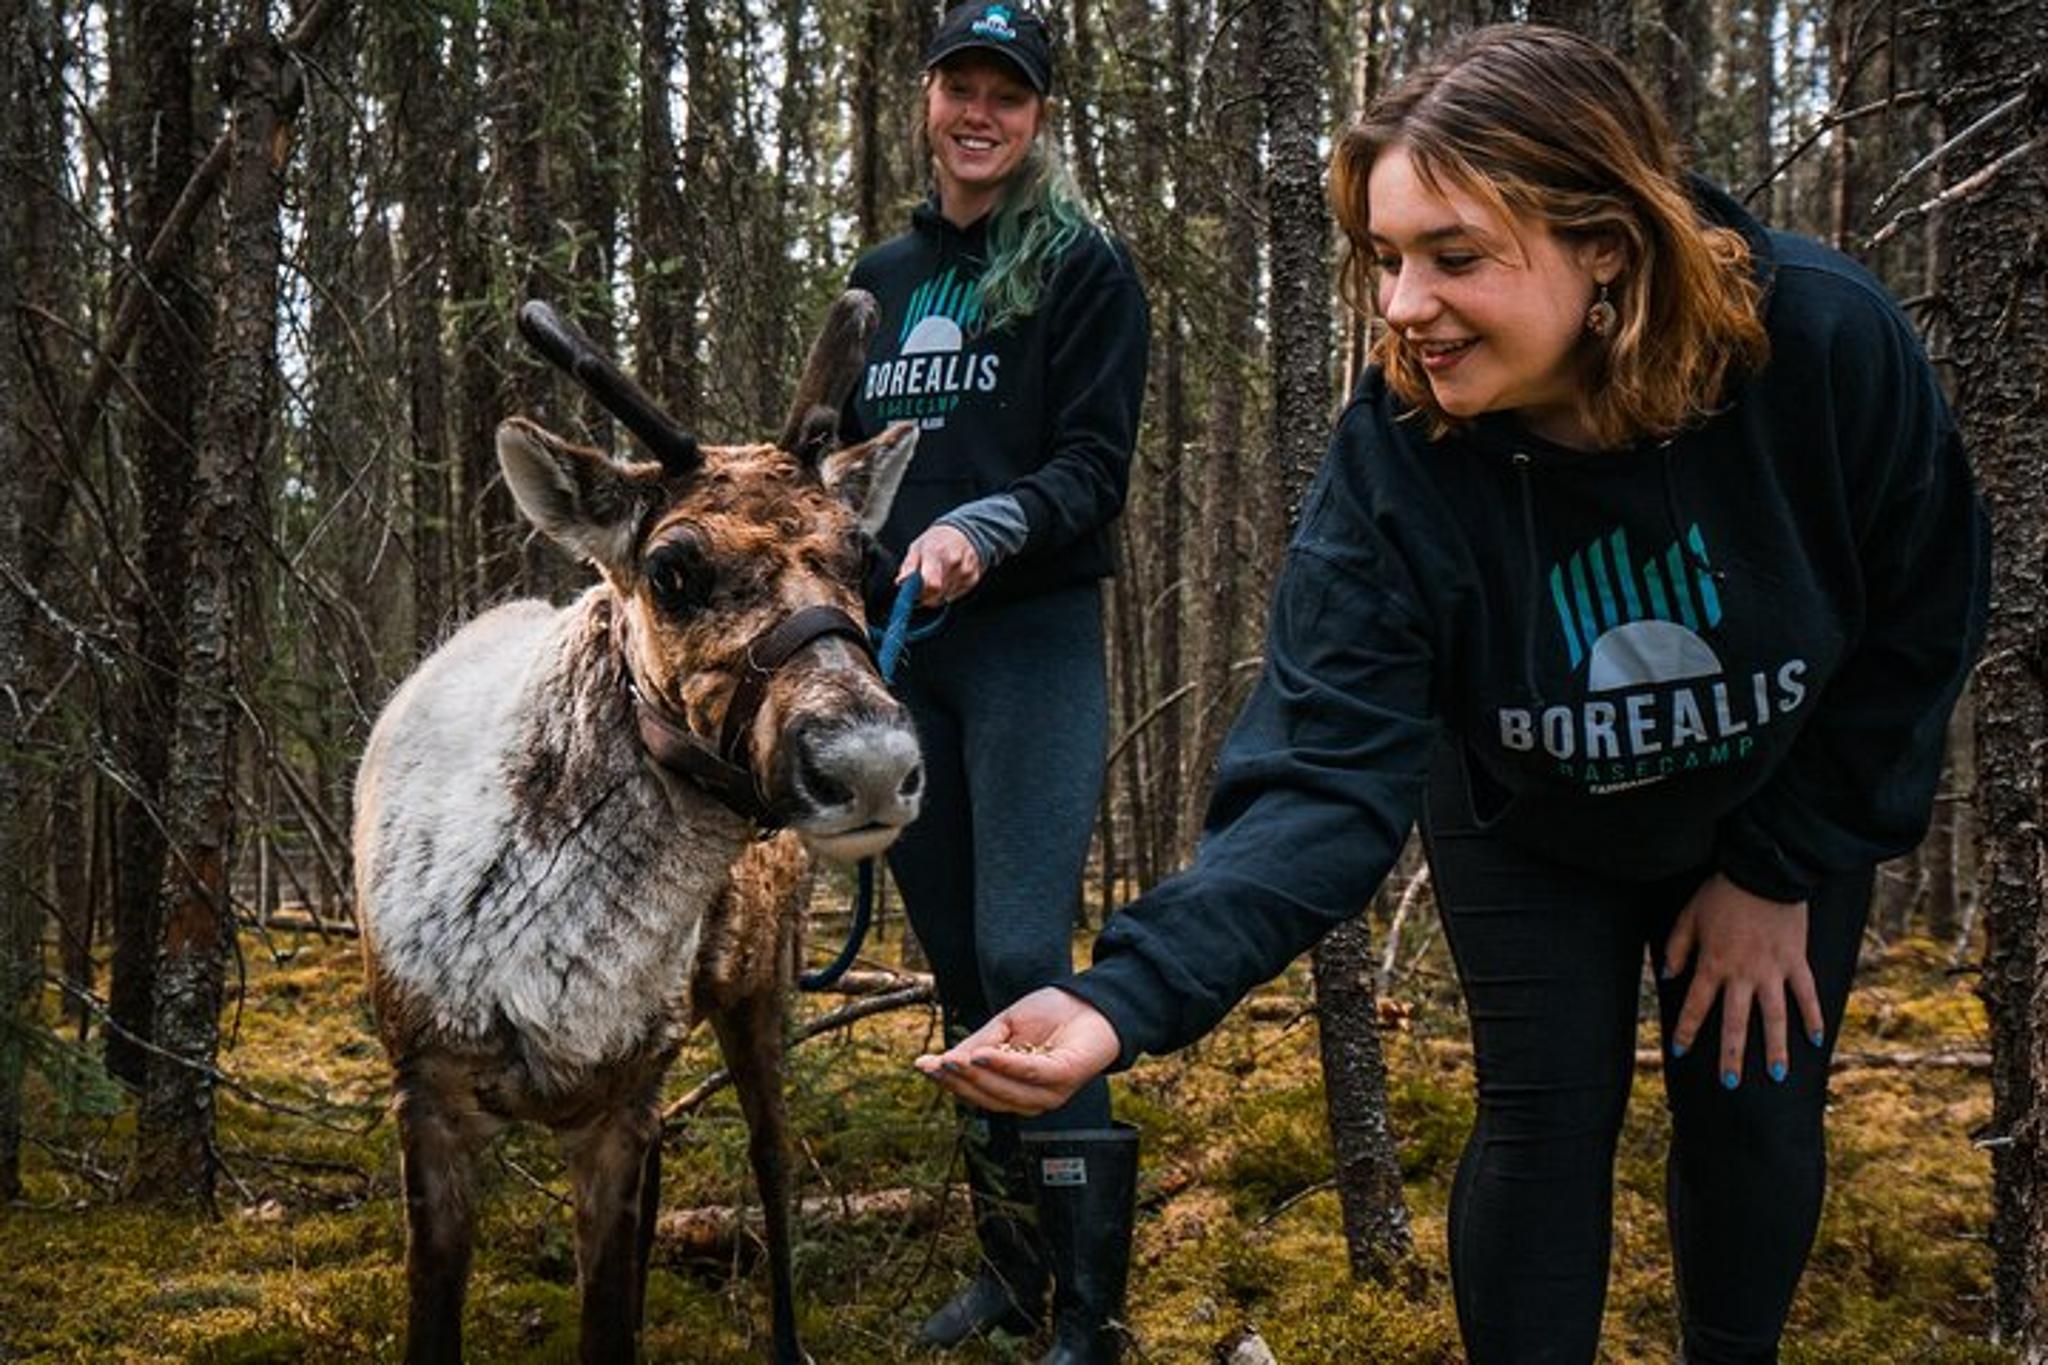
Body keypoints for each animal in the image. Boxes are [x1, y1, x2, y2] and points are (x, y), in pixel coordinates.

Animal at [352, 292, 921, 1364]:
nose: (869, 764)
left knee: (773, 1159)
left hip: (756, 990)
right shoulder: (430, 1094)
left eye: (867, 556)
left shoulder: (617, 1103)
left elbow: (610, 1323)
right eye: (671, 567)